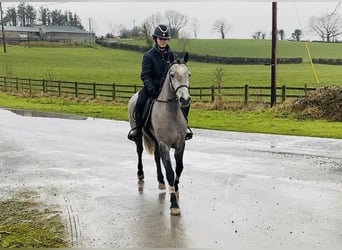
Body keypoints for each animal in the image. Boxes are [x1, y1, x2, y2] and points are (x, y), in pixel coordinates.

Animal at [128, 53, 192, 216]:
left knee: (157, 158)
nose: (185, 99)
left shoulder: (180, 144)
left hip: (156, 140)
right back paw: (140, 174)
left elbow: (179, 168)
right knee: (139, 151)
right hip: (139, 136)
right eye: (172, 75)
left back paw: (161, 181)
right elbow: (170, 171)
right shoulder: (165, 145)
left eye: (188, 74)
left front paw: (175, 190)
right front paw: (174, 205)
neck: (171, 112)